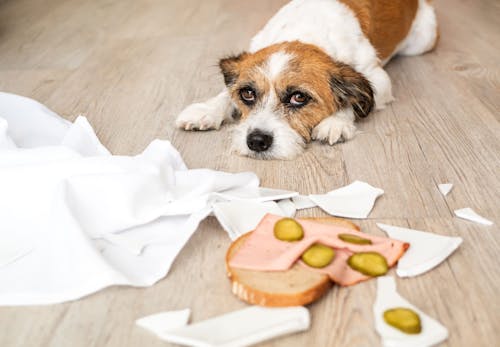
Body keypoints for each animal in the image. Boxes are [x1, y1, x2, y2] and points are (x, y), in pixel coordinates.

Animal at [176, 0, 438, 160]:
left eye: (299, 97)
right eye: (247, 93)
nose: (256, 141)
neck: (304, 33)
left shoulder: (379, 78)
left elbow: (351, 99)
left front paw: (335, 122)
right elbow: (226, 92)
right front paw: (207, 110)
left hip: (423, 41)